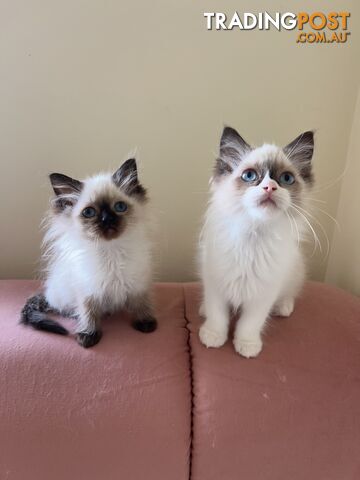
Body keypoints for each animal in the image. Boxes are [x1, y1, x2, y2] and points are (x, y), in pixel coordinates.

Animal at [21, 159, 156, 346]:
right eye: (89, 212)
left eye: (120, 207)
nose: (107, 220)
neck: (111, 252)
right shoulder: (87, 289)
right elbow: (88, 312)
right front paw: (88, 335)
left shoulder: (137, 285)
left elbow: (141, 304)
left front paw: (146, 323)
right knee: (62, 308)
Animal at [198, 125, 314, 358]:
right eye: (249, 175)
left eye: (286, 179)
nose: (270, 187)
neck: (253, 235)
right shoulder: (216, 283)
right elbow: (218, 315)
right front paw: (213, 336)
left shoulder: (264, 293)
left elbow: (250, 323)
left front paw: (247, 345)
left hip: (295, 271)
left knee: (290, 294)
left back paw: (283, 308)